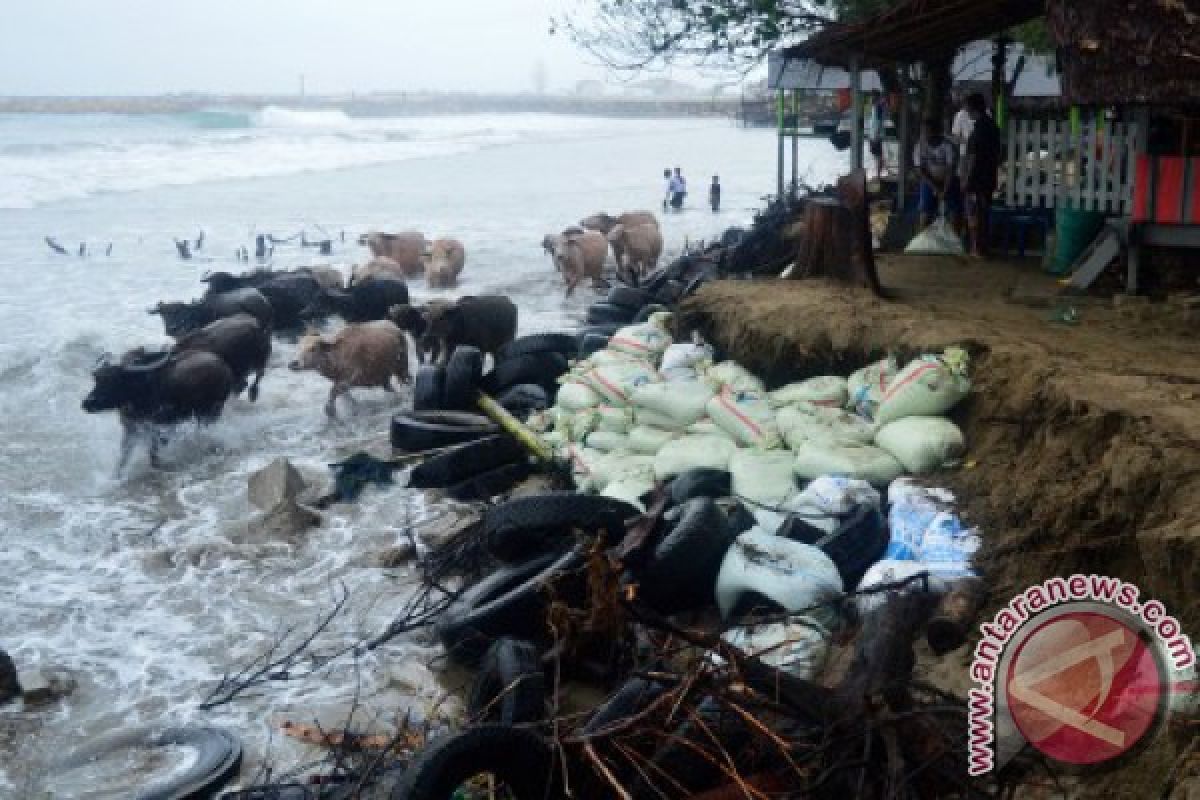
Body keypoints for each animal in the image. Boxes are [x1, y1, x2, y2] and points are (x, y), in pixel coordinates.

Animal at [82, 350, 234, 474]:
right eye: (97, 378)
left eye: (114, 380)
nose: (87, 403)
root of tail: (223, 365)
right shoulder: (131, 430)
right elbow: (123, 458)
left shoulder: (159, 428)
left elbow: (153, 454)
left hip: (211, 411)